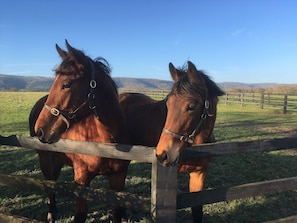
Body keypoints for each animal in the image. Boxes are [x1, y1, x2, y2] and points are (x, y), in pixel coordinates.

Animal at [29, 40, 130, 223]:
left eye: (66, 84)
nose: (40, 130)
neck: (104, 142)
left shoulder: (118, 178)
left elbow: (117, 212)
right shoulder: (82, 180)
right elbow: (80, 215)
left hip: (58, 160)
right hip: (45, 159)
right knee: (49, 183)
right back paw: (51, 213)